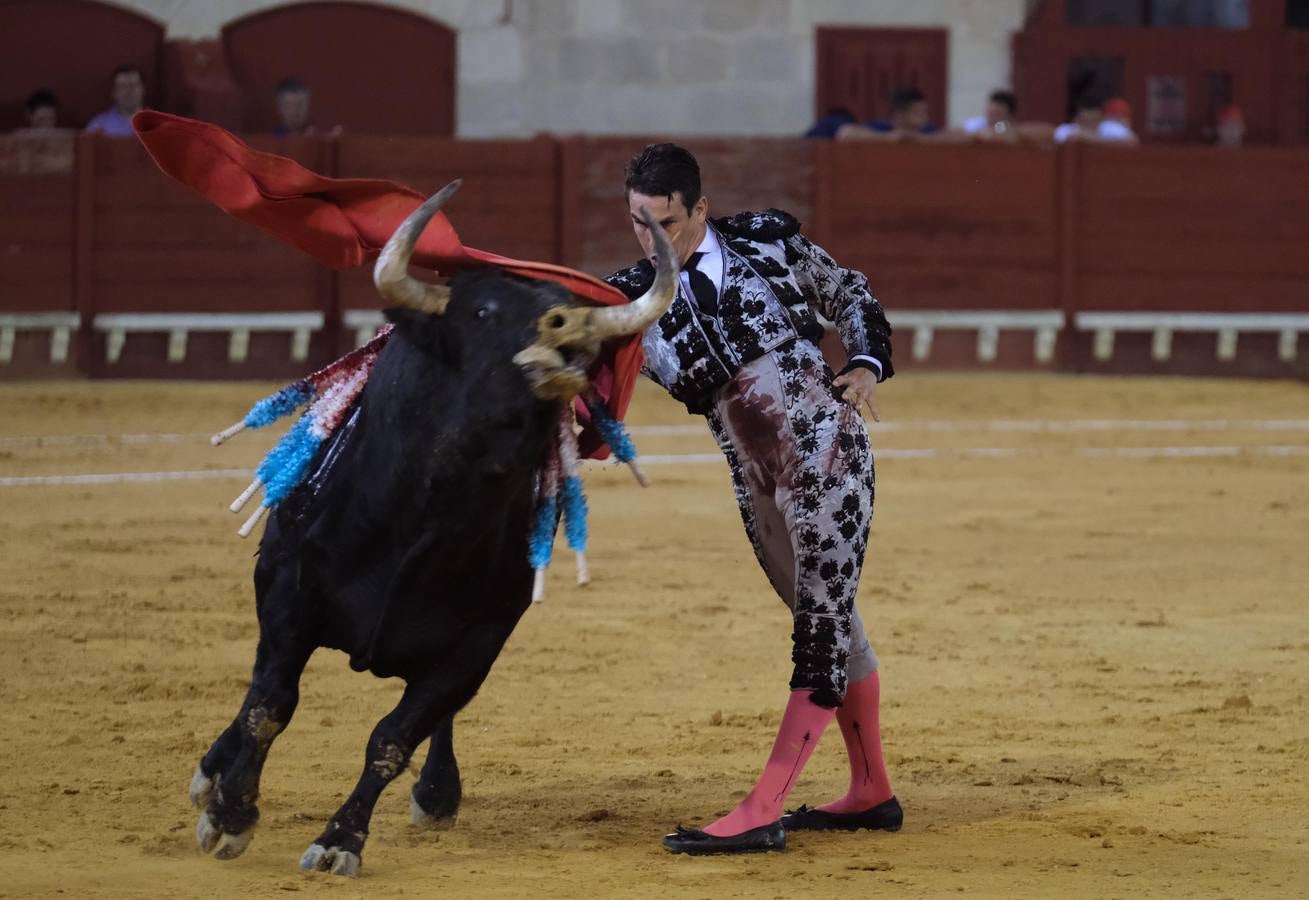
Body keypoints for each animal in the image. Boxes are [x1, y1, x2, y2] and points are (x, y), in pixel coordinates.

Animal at [189, 185, 675, 873]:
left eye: (580, 328)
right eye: (483, 311)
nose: (568, 332)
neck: (433, 508)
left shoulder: (477, 642)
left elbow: (394, 737)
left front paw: (340, 840)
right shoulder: (289, 593)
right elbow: (269, 706)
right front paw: (230, 815)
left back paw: (439, 793)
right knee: (260, 691)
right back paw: (212, 773)